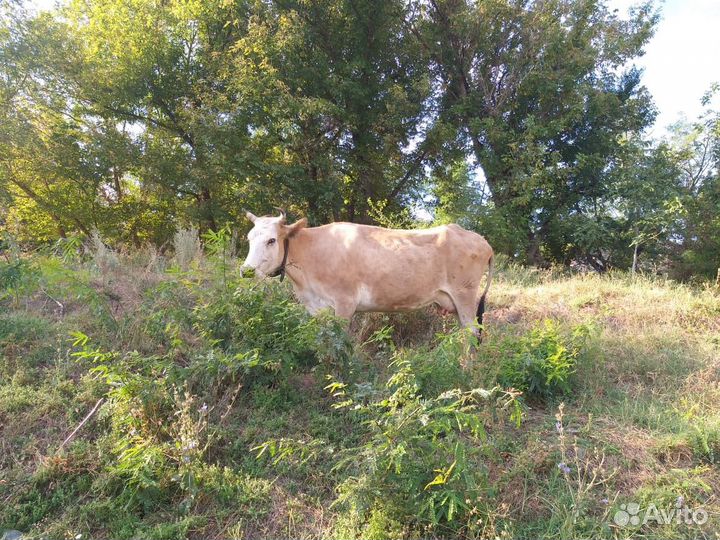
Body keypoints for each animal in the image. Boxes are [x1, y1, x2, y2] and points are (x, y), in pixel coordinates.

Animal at [240, 211, 494, 337]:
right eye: (249, 238)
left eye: (272, 240)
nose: (246, 271)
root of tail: (481, 240)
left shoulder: (345, 303)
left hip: (465, 296)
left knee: (472, 333)